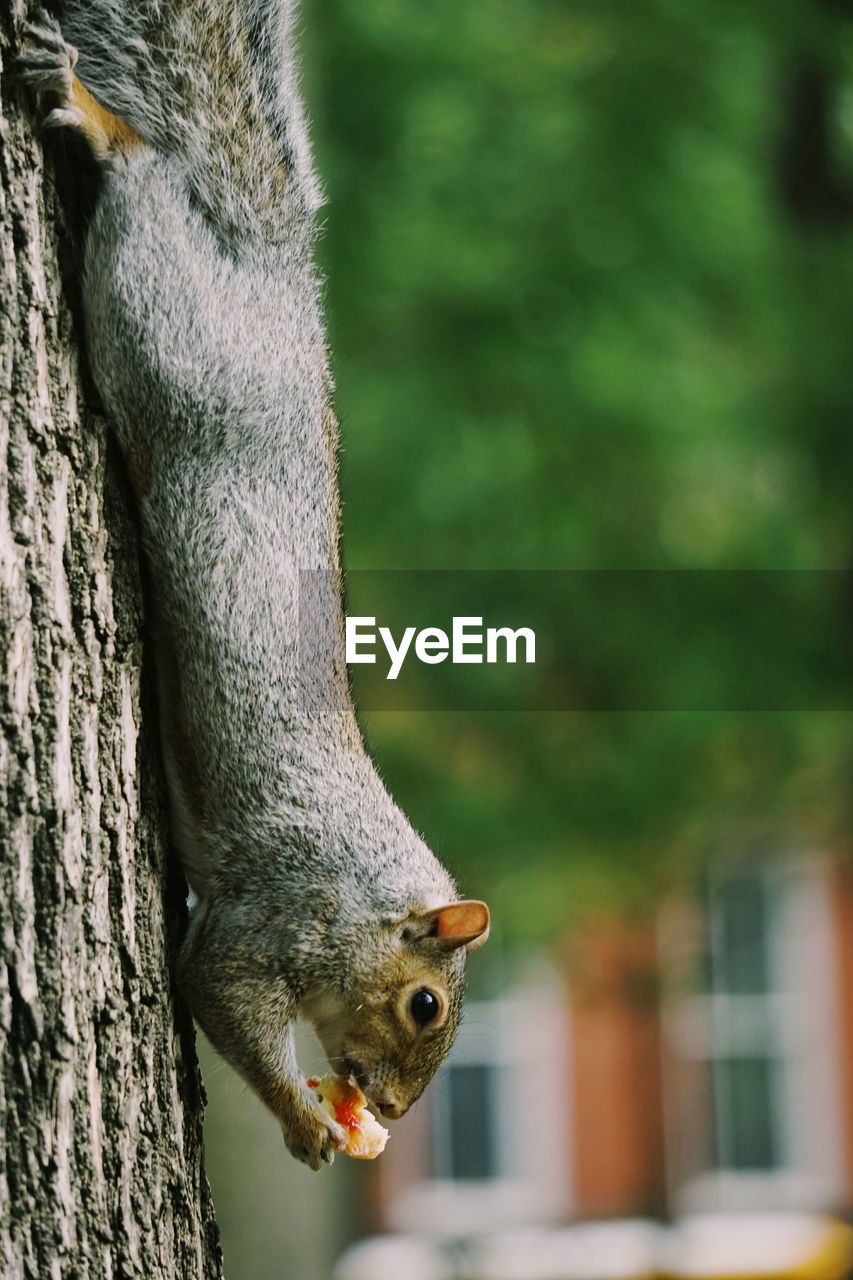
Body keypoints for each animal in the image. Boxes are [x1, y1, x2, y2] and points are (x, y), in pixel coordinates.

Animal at [16, 2, 489, 1172]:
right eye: (423, 1003)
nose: (389, 1105)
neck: (360, 886)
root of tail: (269, 271)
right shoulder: (276, 917)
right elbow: (216, 990)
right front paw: (306, 1121)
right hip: (163, 323)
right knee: (142, 179)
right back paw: (87, 109)